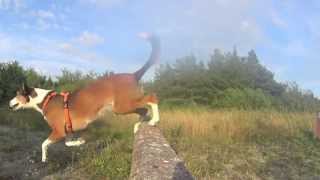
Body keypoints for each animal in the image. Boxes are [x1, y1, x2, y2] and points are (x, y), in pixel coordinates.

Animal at [8, 33, 160, 162]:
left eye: (17, 94)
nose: (9, 103)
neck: (45, 100)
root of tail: (133, 75)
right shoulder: (66, 132)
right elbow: (68, 143)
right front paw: (79, 142)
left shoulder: (58, 131)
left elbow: (43, 144)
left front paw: (44, 157)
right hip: (123, 107)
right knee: (143, 110)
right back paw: (138, 126)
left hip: (122, 106)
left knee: (152, 98)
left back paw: (154, 120)